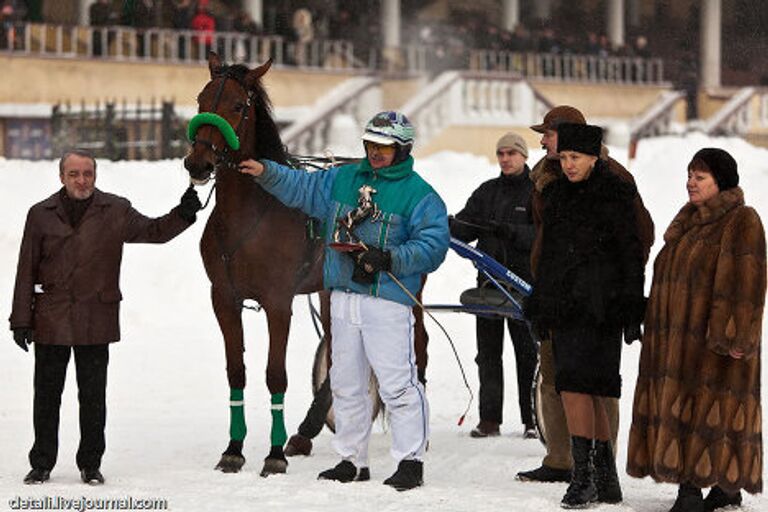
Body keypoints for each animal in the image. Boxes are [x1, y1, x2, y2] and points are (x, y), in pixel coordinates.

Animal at [184, 52, 326, 476]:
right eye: (200, 99)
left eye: (237, 105)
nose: (198, 164)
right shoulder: (224, 298)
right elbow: (237, 371)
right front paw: (234, 448)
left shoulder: (279, 302)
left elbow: (275, 375)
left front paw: (275, 453)